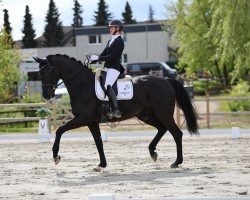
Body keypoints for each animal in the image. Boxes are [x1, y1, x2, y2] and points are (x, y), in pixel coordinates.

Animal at [33, 54, 199, 171]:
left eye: (46, 72)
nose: (46, 95)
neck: (82, 85)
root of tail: (166, 81)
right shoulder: (91, 122)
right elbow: (98, 142)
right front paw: (101, 164)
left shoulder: (82, 118)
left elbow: (60, 130)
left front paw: (56, 156)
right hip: (145, 115)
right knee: (162, 128)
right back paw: (153, 152)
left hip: (163, 113)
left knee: (176, 133)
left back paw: (176, 162)